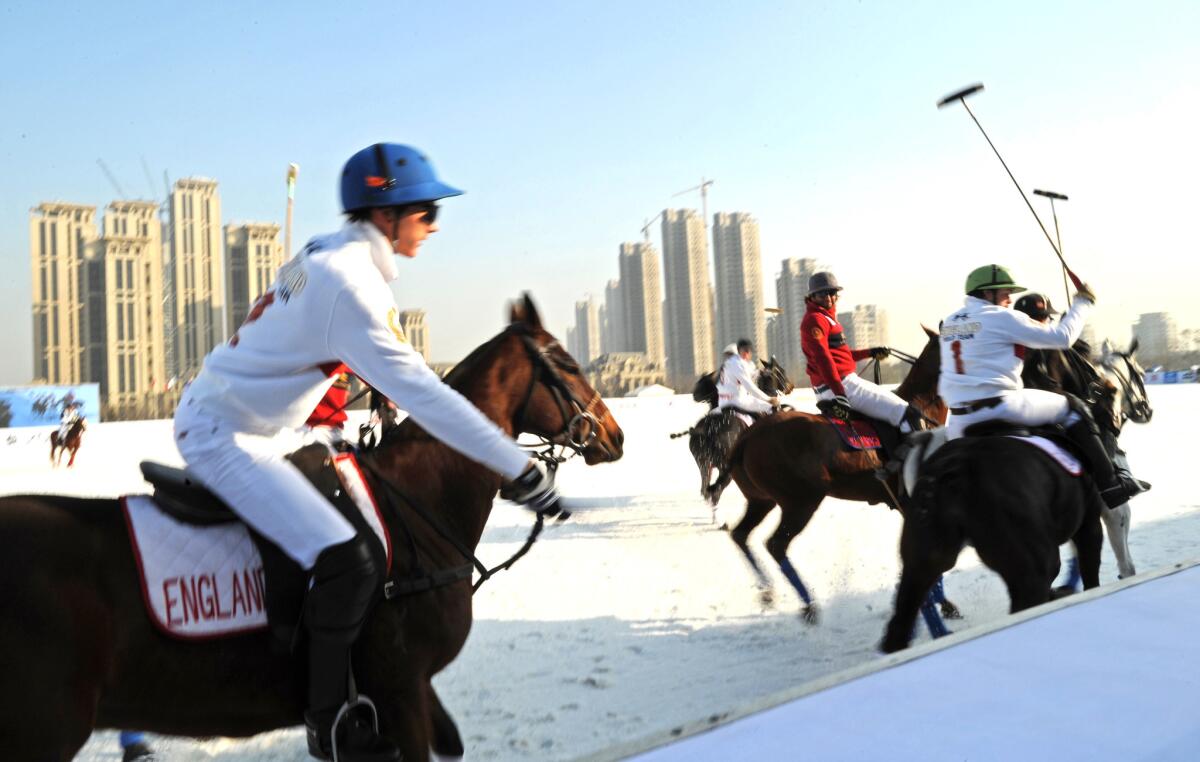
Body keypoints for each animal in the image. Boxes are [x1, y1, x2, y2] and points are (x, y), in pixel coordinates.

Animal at [676, 357, 796, 513]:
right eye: (781, 371)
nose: (791, 386)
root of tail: (706, 431)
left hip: (704, 464)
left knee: (706, 489)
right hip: (725, 467)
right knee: (716, 490)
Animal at [720, 328, 945, 624]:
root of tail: (747, 437)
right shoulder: (914, 502)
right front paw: (944, 603)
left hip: (761, 500)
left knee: (741, 535)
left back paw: (768, 591)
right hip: (801, 502)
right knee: (776, 544)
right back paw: (809, 605)